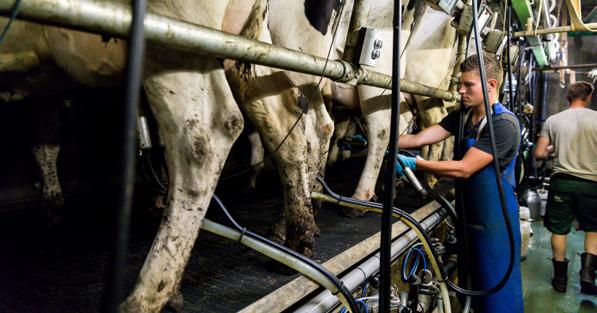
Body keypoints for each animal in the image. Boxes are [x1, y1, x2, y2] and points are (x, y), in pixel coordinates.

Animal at [1, 1, 244, 310]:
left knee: (203, 139)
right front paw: (52, 205)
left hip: (175, 42)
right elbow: (45, 143)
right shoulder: (45, 86)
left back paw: (145, 295)